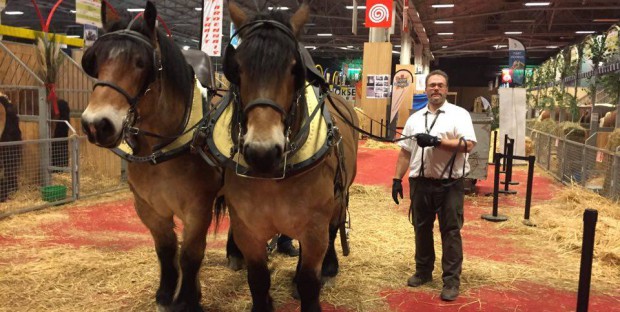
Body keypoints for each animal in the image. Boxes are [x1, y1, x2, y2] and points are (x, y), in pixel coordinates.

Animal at [80, 1, 220, 310]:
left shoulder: (198, 209)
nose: (96, 124)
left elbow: (191, 255)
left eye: (141, 63)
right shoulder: (148, 208)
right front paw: (167, 293)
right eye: (97, 61)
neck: (163, 151)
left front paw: (188, 299)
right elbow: (166, 250)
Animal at [219, 1, 358, 310]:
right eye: (237, 68)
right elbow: (258, 281)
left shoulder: (314, 228)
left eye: (295, 69)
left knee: (333, 229)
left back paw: (329, 267)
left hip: (339, 197)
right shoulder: (248, 229)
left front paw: (308, 281)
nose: (262, 152)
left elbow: (309, 282)